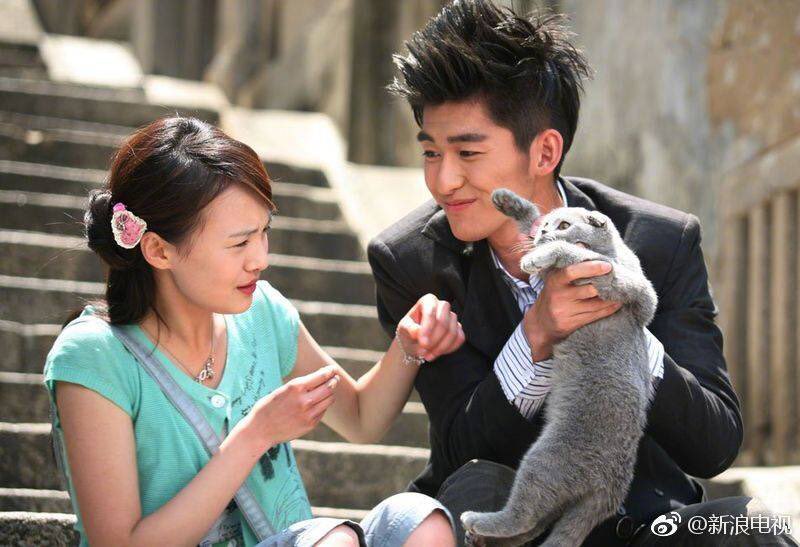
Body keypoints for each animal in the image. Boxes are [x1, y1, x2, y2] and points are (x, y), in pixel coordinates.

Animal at [460, 189, 659, 547]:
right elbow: (531, 220)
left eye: (565, 225)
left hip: (543, 461)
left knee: (524, 515)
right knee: (534, 525)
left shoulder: (634, 288)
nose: (545, 232)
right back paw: (481, 535)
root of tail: (611, 490)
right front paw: (509, 203)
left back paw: (478, 521)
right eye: (548, 225)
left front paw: (537, 256)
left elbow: (574, 253)